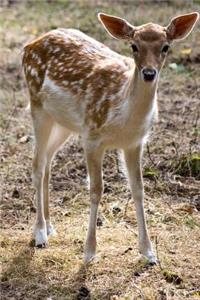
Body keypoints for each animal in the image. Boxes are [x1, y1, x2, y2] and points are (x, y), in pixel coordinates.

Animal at [22, 11, 198, 264]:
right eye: (134, 46)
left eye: (166, 47)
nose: (148, 73)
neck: (124, 116)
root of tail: (30, 45)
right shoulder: (92, 136)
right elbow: (96, 189)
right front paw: (89, 252)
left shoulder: (135, 142)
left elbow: (138, 188)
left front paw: (149, 253)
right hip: (37, 105)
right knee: (37, 165)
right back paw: (39, 234)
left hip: (64, 122)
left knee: (47, 161)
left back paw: (50, 226)